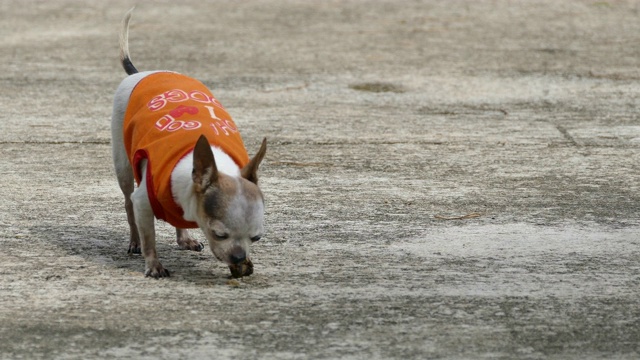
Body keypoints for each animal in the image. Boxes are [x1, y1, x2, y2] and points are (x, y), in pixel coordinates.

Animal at [111, 7, 266, 278]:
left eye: (256, 238)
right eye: (219, 234)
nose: (239, 256)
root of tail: (141, 73)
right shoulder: (143, 202)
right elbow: (149, 237)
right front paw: (153, 265)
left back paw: (185, 238)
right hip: (123, 165)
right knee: (128, 201)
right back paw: (134, 241)